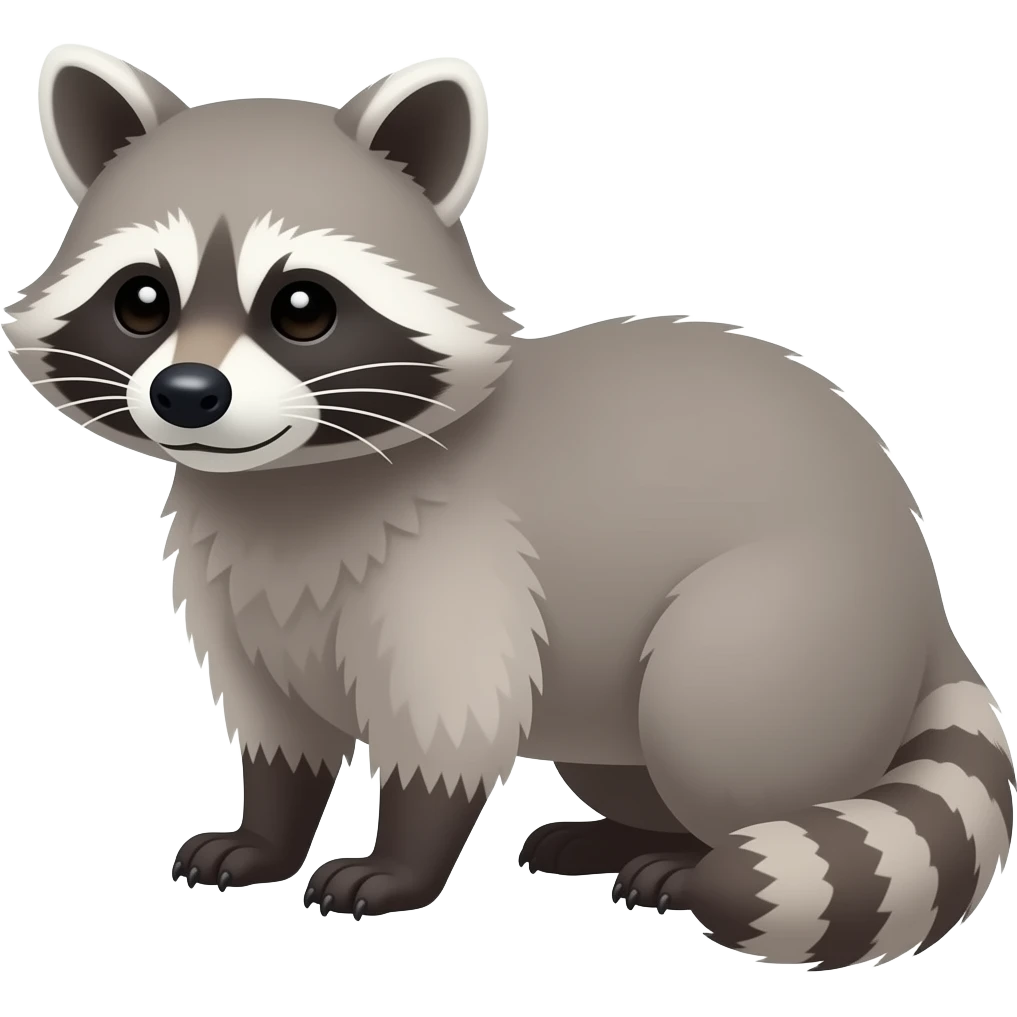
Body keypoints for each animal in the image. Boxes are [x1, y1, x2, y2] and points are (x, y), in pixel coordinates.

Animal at [5, 44, 1013, 967]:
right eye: (142, 300)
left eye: (301, 308)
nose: (186, 394)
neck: (293, 475)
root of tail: (918, 579)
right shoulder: (233, 583)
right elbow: (278, 729)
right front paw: (267, 830)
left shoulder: (461, 557)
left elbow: (448, 726)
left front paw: (402, 860)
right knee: (626, 762)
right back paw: (631, 832)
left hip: (793, 621)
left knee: (712, 730)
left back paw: (698, 853)